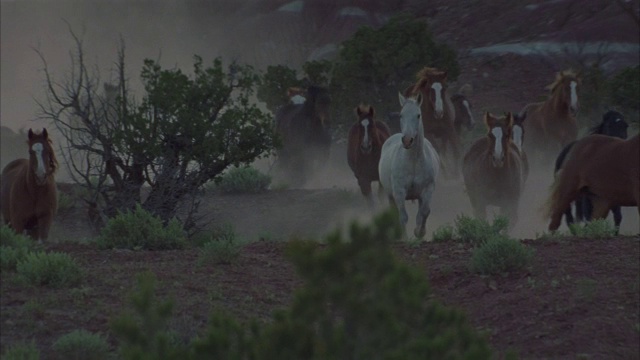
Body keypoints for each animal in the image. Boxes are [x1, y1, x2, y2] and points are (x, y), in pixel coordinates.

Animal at [380, 93, 440, 239]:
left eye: (418, 115)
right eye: (401, 115)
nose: (407, 140)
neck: (413, 162)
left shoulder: (427, 190)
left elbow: (424, 212)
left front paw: (419, 232)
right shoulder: (399, 191)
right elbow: (403, 217)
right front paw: (405, 238)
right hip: (390, 195)